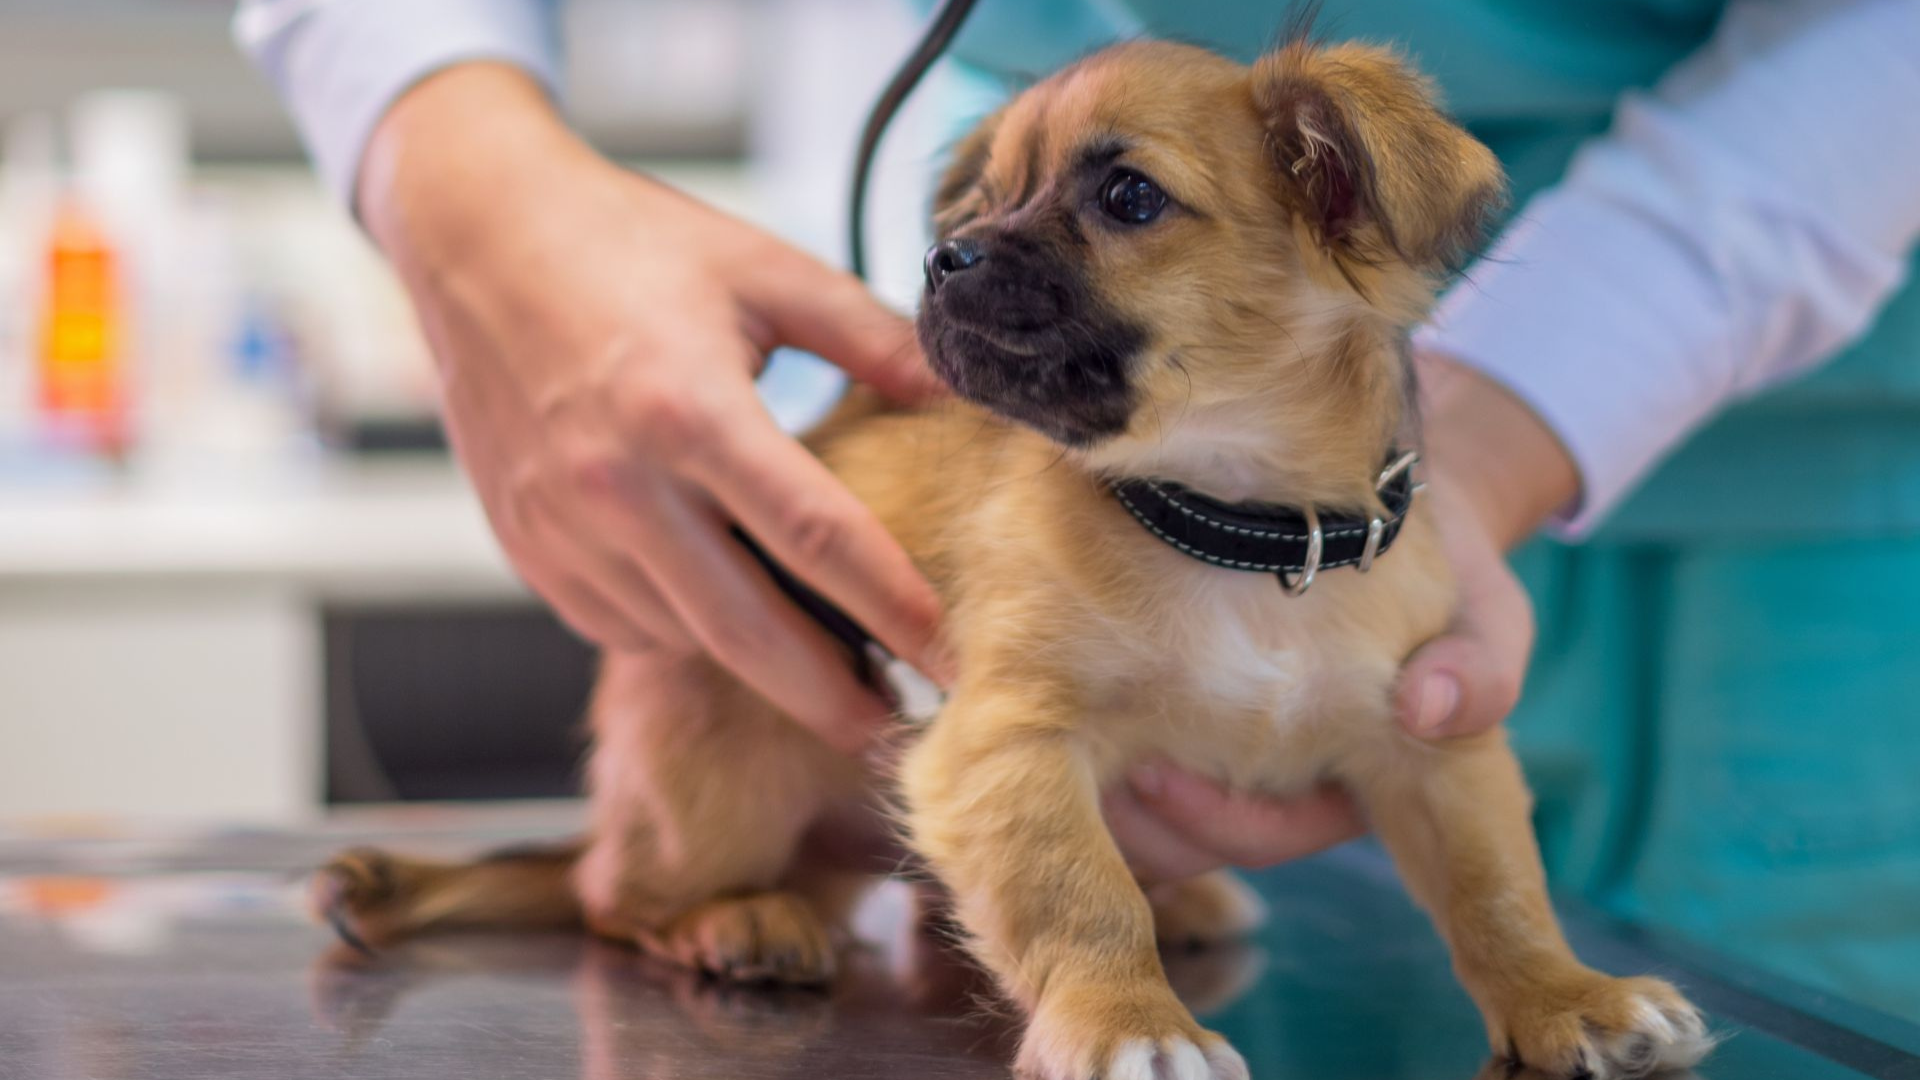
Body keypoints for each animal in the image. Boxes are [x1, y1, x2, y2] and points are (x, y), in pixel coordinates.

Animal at [314, 37, 1712, 1076]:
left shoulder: (1435, 742)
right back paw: (733, 920)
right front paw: (1127, 1023)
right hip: (729, 765)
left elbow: (1499, 890)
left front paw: (1568, 995)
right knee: (615, 896)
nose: (946, 256)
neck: (1236, 531)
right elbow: (1081, 891)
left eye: (1128, 197)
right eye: (984, 203)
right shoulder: (1004, 744)